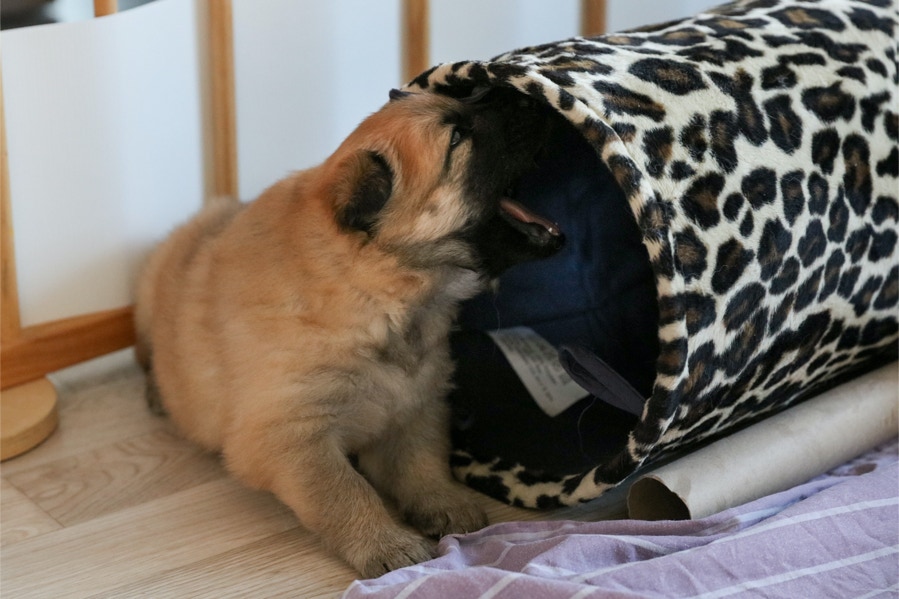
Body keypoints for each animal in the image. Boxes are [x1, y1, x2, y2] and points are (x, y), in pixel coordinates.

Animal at [134, 87, 564, 577]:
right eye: (456, 137)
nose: (532, 98)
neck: (381, 299)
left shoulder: (416, 403)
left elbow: (423, 460)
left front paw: (444, 501)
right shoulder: (291, 435)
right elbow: (344, 491)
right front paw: (387, 544)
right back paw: (156, 392)